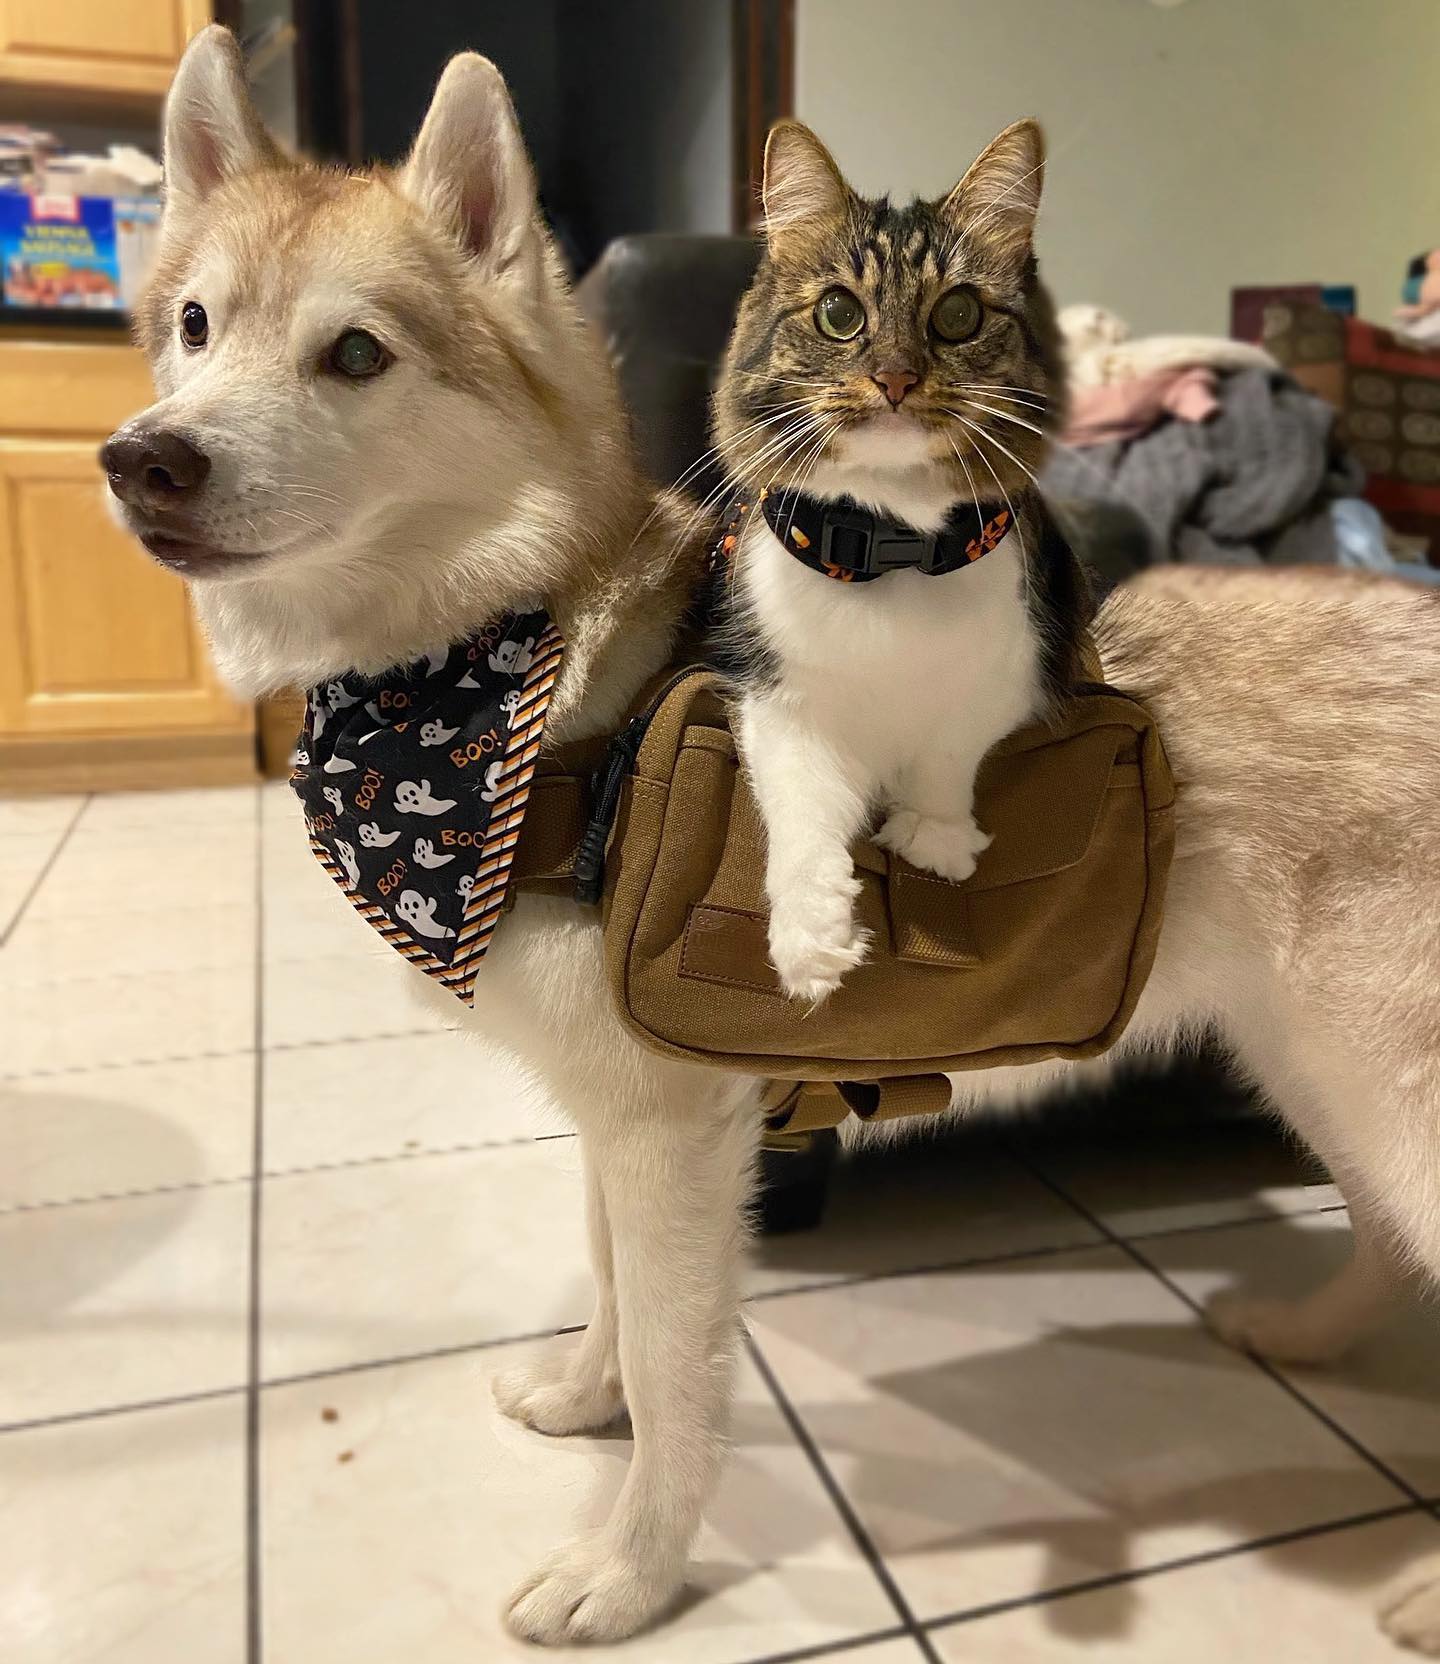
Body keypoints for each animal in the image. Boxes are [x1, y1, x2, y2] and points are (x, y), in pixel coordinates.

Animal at [712, 120, 1085, 998]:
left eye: (958, 314)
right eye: (840, 313)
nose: (895, 378)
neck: (891, 545)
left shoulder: (1005, 677)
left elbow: (949, 757)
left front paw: (935, 840)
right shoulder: (776, 698)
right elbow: (802, 811)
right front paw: (811, 947)